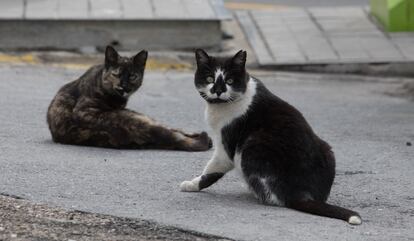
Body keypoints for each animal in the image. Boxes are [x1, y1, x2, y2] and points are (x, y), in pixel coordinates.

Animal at [47, 45, 212, 151]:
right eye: (116, 74)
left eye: (132, 76)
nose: (124, 87)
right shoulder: (84, 110)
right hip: (136, 116)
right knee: (170, 131)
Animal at [180, 50, 360, 225]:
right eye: (210, 78)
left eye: (229, 80)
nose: (218, 91)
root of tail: (301, 193)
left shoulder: (225, 147)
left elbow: (211, 170)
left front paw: (192, 184)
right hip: (327, 148)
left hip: (251, 146)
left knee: (274, 197)